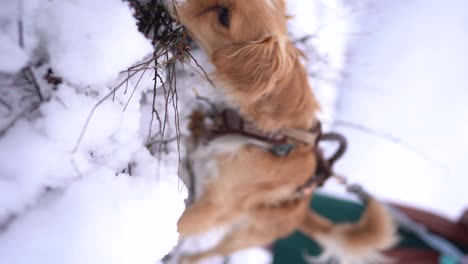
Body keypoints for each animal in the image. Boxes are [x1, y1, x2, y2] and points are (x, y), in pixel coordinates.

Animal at [166, 1, 396, 262]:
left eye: (224, 16)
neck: (268, 135)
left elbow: (178, 225)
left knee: (211, 250)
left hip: (243, 235)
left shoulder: (217, 206)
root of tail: (302, 213)